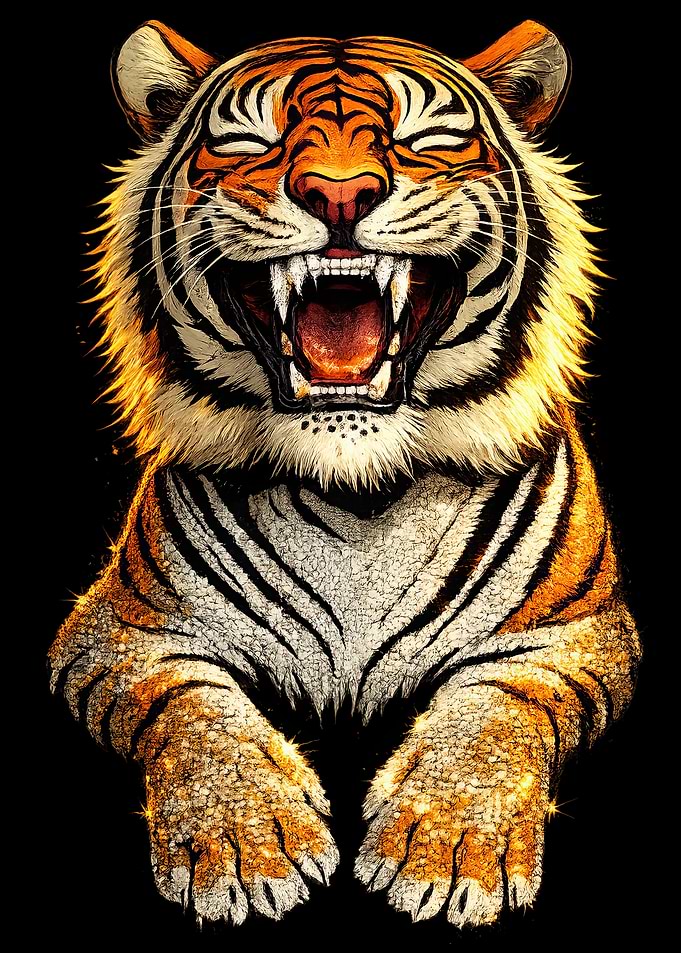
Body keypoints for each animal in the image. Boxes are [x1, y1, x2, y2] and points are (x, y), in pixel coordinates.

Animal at [50, 19, 640, 928]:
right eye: (248, 140)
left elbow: (488, 712)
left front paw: (447, 853)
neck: (359, 497)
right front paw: (245, 847)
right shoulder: (118, 631)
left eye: (424, 136)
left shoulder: (574, 634)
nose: (338, 197)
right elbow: (199, 712)